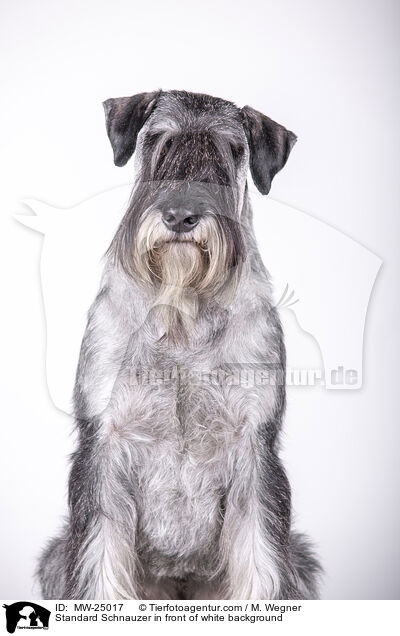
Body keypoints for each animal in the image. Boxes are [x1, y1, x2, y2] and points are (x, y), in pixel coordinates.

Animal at [37, 90, 320, 600]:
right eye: (158, 141)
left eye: (231, 152)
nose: (181, 216)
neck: (182, 318)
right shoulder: (102, 444)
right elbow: (97, 566)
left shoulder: (256, 450)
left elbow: (262, 565)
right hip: (54, 557)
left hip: (302, 560)